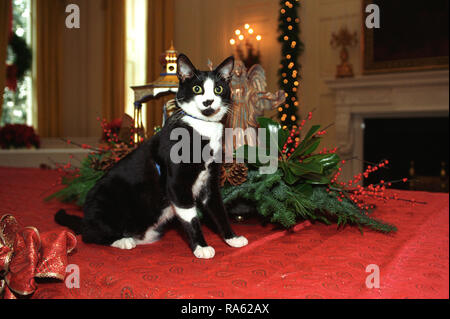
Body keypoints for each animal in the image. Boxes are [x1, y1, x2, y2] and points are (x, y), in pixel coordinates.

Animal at [55, 54, 250, 260]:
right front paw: (201, 247)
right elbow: (191, 218)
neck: (202, 127)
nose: (208, 102)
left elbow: (219, 211)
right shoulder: (177, 184)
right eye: (197, 89)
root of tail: (86, 218)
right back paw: (122, 240)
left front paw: (232, 238)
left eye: (218, 89)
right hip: (105, 199)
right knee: (90, 235)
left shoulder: (210, 181)